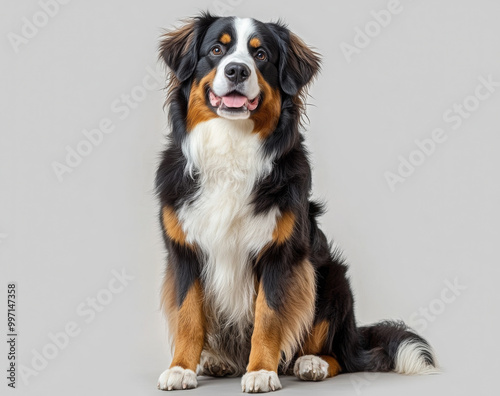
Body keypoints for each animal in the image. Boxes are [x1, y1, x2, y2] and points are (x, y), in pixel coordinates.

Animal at [155, 13, 438, 392]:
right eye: (216, 49)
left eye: (260, 55)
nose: (236, 71)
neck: (231, 146)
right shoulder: (184, 251)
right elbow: (187, 315)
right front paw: (181, 368)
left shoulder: (281, 254)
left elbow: (269, 317)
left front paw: (261, 371)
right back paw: (218, 361)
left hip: (331, 279)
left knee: (340, 356)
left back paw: (312, 363)